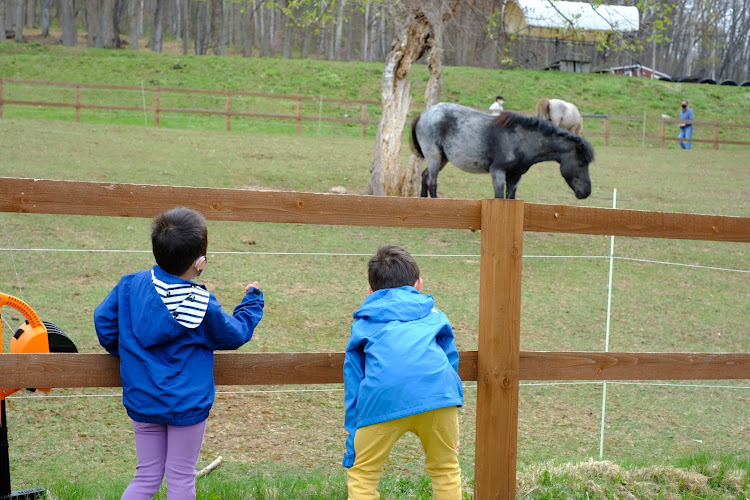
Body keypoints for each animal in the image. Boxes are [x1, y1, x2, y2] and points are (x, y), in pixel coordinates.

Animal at [412, 102, 592, 199]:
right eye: (582, 163)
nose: (586, 192)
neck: (522, 140)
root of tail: (424, 114)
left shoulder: (515, 177)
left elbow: (510, 199)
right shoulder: (498, 172)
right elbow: (499, 198)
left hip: (442, 159)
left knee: (425, 176)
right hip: (435, 157)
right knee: (432, 182)